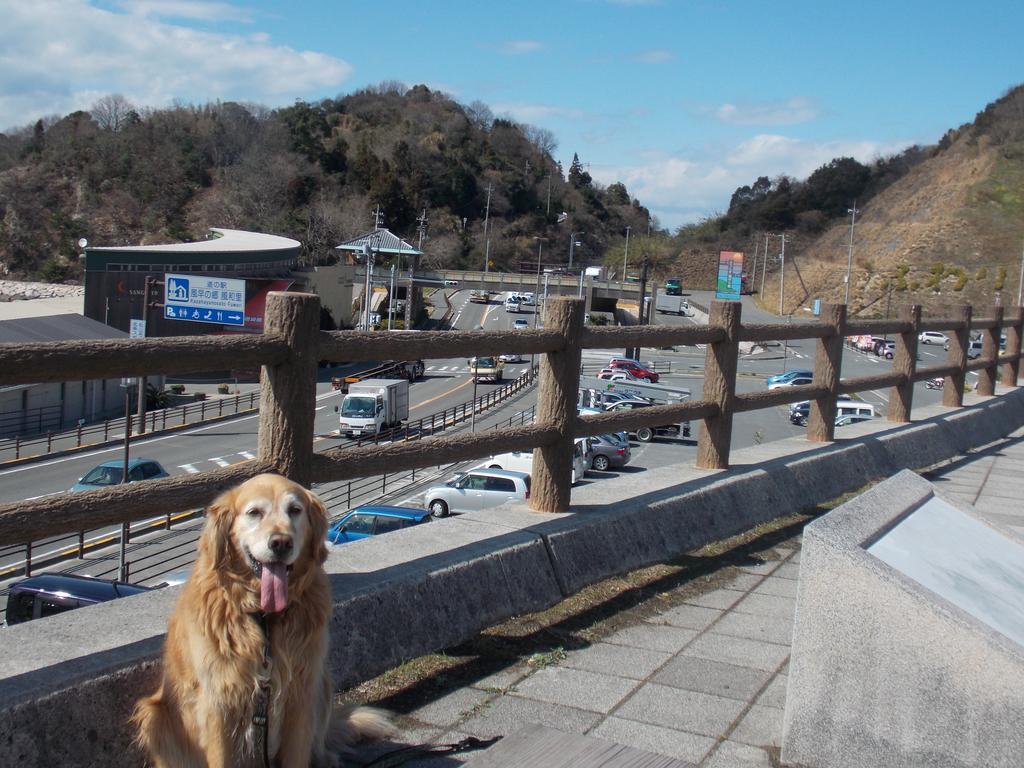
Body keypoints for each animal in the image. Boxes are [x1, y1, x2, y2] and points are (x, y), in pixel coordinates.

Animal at [134, 475, 389, 768]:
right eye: (254, 512)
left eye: (295, 510)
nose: (281, 543)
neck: (265, 617)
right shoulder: (218, 700)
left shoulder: (300, 692)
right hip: (155, 716)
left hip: (322, 686)